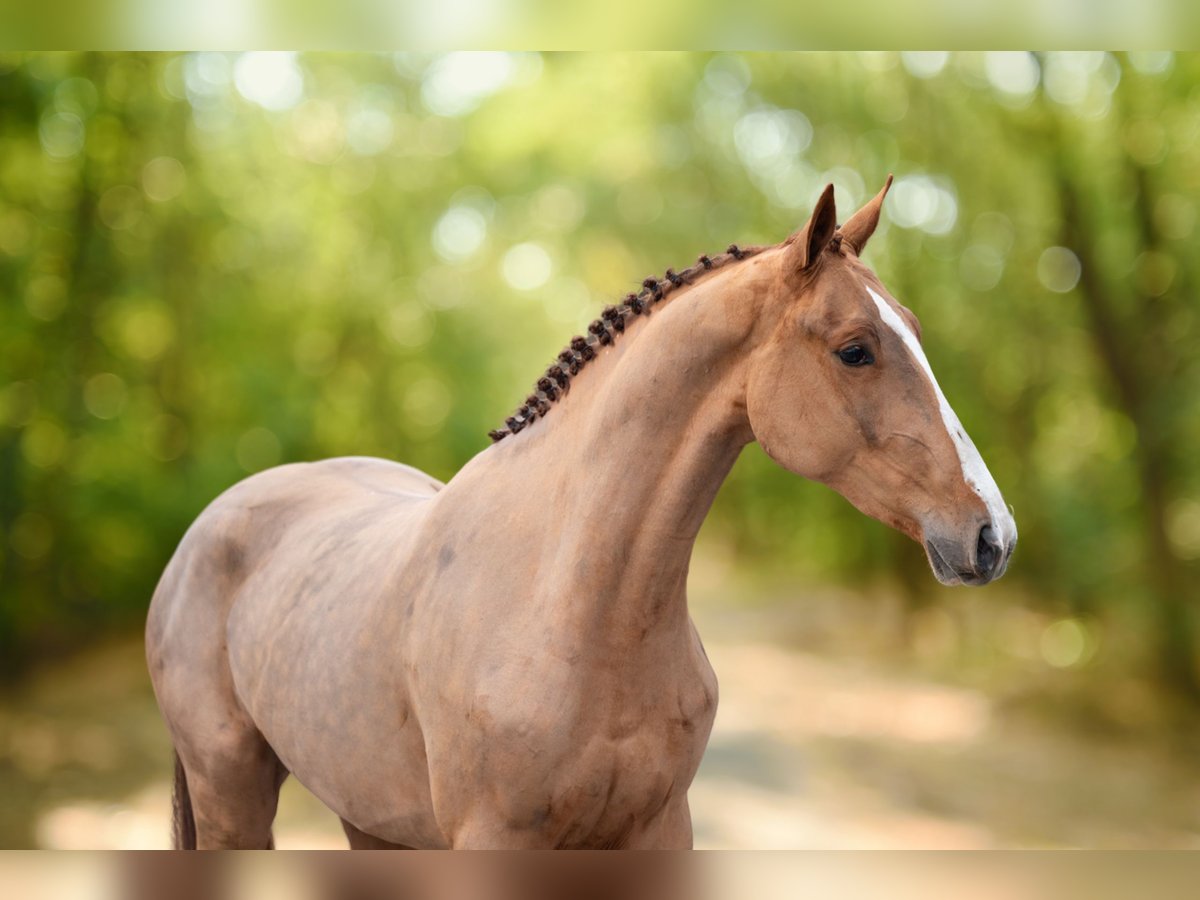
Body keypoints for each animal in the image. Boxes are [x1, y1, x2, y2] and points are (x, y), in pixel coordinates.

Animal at [145, 180, 1017, 849]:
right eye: (854, 349)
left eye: (915, 332)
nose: (992, 536)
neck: (569, 603)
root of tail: (202, 532)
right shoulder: (494, 842)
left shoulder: (657, 829)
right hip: (234, 801)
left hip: (372, 820)